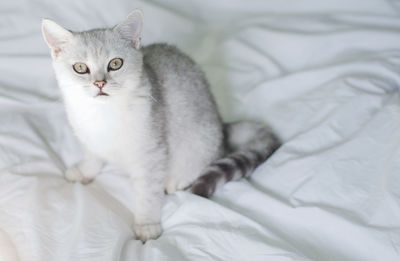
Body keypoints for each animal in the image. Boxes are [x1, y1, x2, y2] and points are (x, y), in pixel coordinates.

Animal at [39, 8, 278, 242]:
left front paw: (147, 224)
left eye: (115, 63)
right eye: (80, 68)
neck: (103, 115)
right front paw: (85, 171)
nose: (100, 83)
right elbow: (92, 156)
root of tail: (221, 124)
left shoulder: (151, 152)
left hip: (200, 138)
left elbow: (148, 193)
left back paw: (178, 179)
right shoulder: (89, 138)